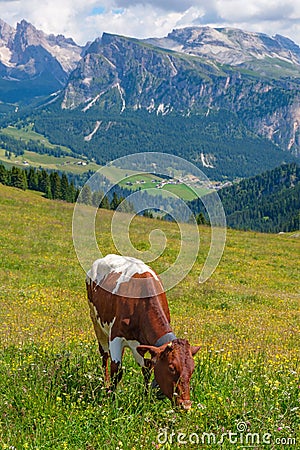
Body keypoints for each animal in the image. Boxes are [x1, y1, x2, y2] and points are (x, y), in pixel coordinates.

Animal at [86, 255, 199, 410]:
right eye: (171, 368)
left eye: (192, 369)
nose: (186, 405)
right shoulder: (115, 336)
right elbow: (117, 370)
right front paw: (111, 400)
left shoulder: (147, 346)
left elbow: (147, 371)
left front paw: (146, 399)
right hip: (96, 322)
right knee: (104, 356)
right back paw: (106, 384)